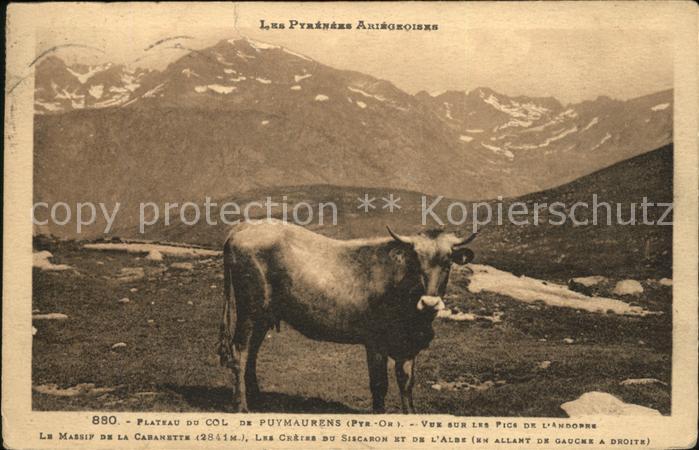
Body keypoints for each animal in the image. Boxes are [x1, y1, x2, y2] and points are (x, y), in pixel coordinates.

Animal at [217, 219, 477, 413]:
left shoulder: (408, 346)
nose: (429, 302)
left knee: (252, 351)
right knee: (239, 351)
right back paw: (241, 406)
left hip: (264, 315)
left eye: (447, 262)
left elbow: (406, 383)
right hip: (249, 309)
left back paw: (257, 398)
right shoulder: (375, 343)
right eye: (415, 261)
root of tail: (245, 227)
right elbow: (379, 385)